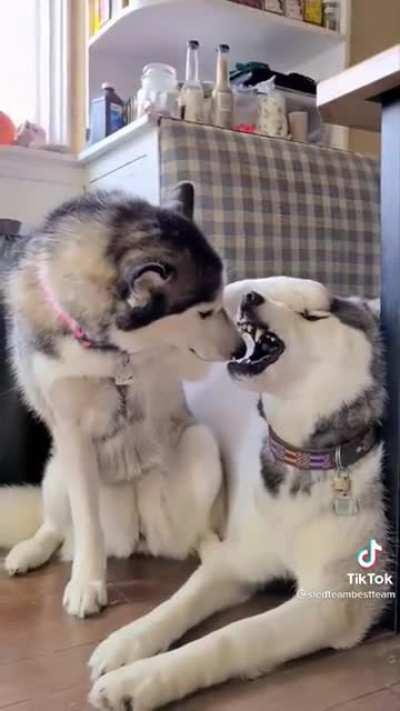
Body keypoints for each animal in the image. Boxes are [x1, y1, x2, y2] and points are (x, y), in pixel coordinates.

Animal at [1, 189, 245, 618]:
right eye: (204, 311)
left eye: (220, 302)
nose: (240, 349)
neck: (104, 346)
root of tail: (137, 535)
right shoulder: (70, 429)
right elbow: (87, 525)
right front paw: (88, 583)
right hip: (57, 469)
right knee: (57, 525)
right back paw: (32, 550)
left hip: (199, 446)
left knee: (194, 532)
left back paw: (213, 551)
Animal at [88, 276, 389, 711]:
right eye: (277, 292)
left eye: (313, 314)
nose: (250, 297)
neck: (300, 457)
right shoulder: (236, 564)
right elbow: (178, 601)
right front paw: (127, 641)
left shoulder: (330, 604)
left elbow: (233, 636)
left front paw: (140, 680)